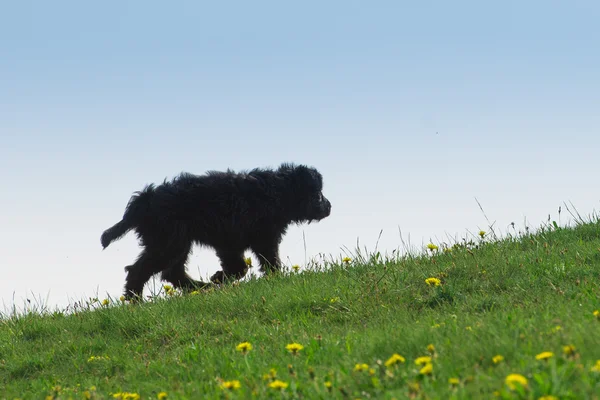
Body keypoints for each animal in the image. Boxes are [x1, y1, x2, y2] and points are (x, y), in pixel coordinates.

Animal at [100, 163, 330, 300]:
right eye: (318, 194)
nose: (330, 206)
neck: (278, 192)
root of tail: (145, 199)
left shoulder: (231, 242)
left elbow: (239, 267)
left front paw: (219, 277)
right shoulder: (262, 237)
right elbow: (266, 262)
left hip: (175, 242)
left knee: (172, 272)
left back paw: (201, 287)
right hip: (168, 242)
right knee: (138, 270)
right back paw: (135, 300)